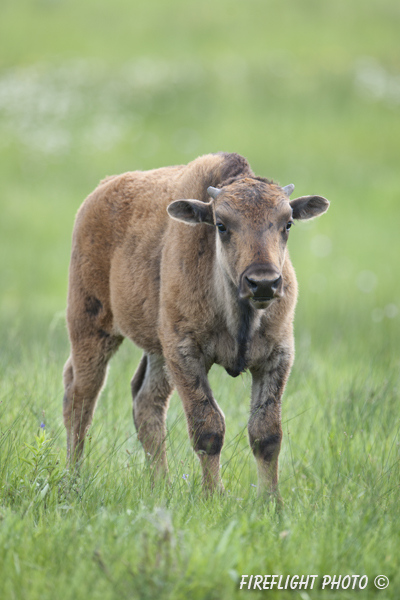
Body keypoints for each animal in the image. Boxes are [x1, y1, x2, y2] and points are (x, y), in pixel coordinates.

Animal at [62, 154, 330, 496]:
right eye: (221, 225)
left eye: (288, 223)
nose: (263, 283)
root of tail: (101, 191)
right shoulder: (185, 354)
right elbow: (208, 428)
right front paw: (213, 495)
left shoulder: (276, 357)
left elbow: (266, 434)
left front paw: (271, 501)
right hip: (91, 327)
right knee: (81, 398)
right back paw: (73, 478)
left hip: (157, 351)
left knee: (146, 402)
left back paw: (161, 485)